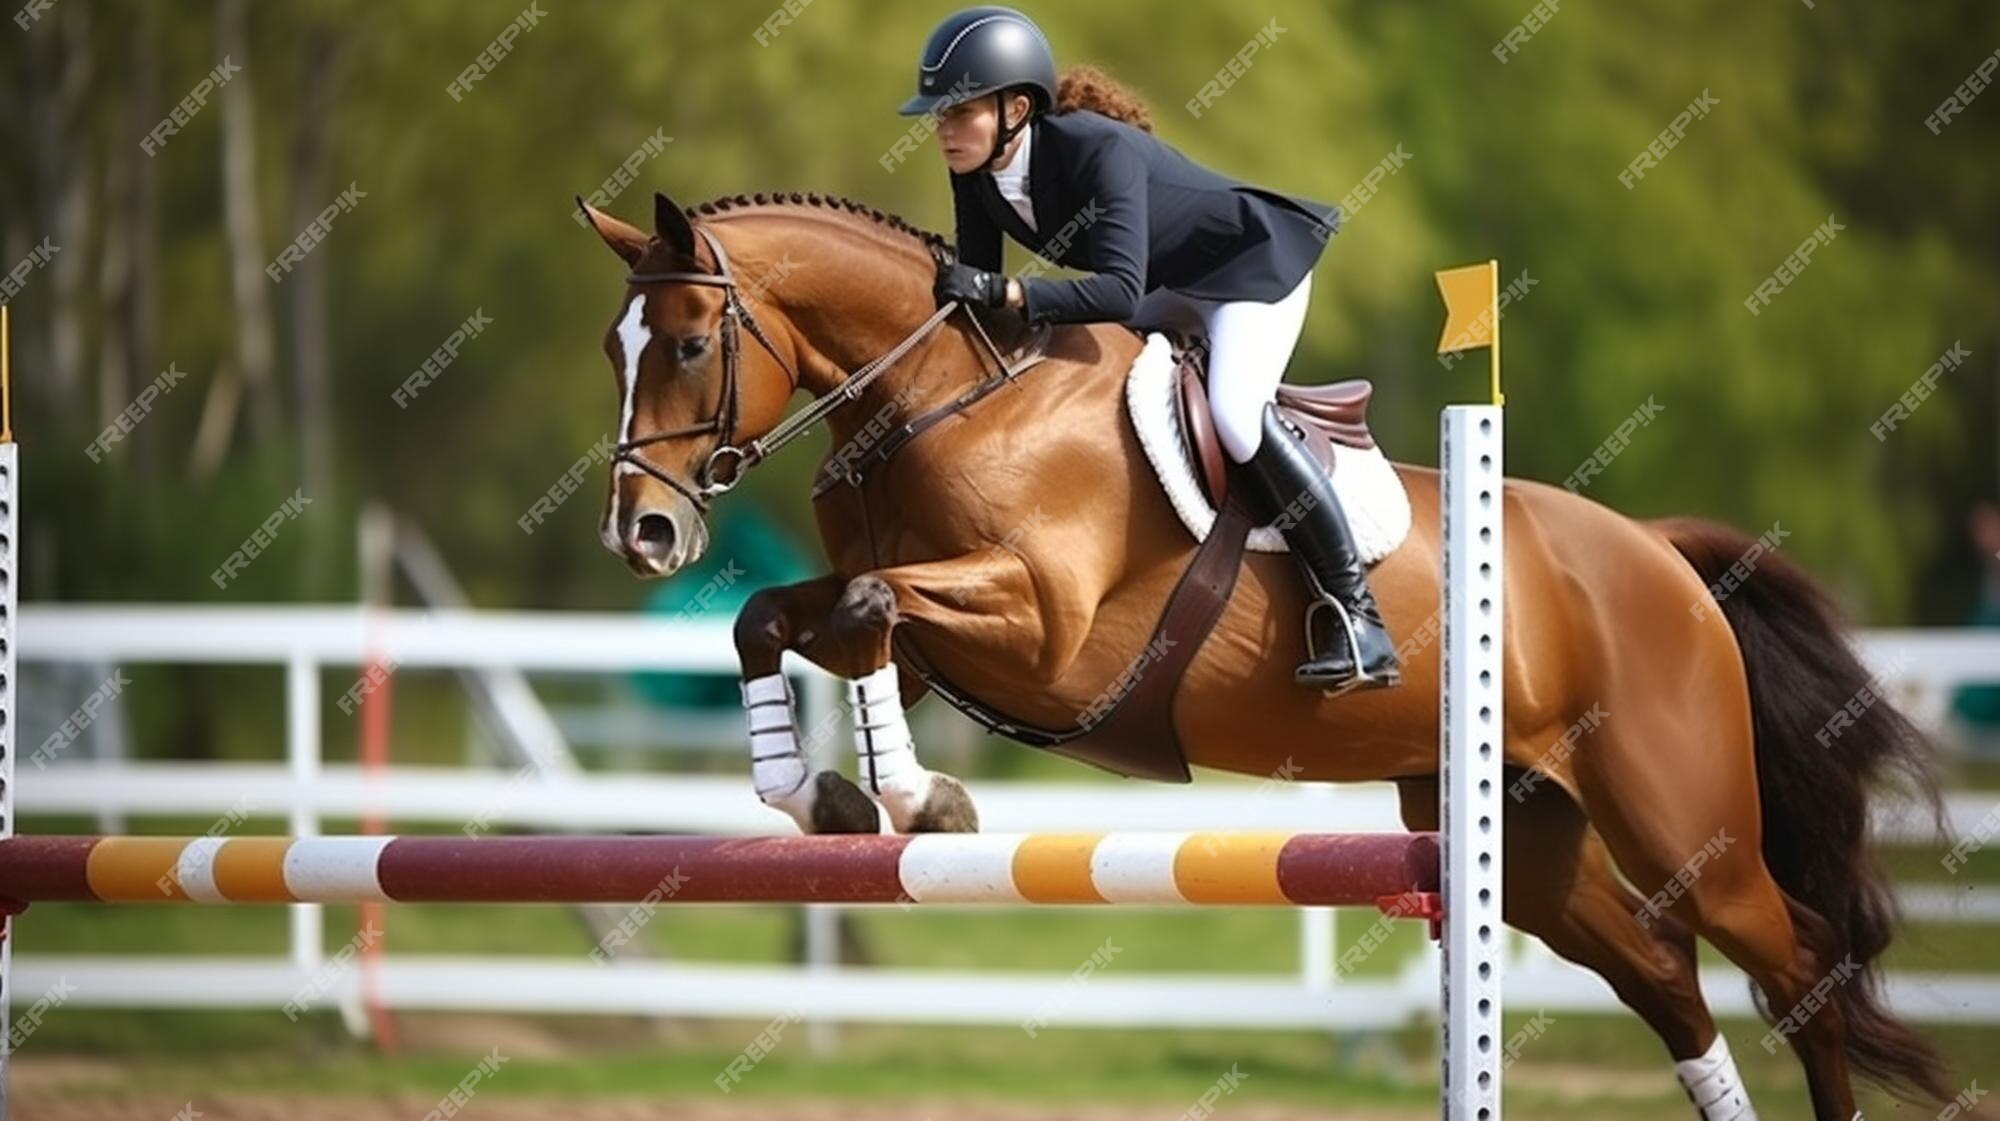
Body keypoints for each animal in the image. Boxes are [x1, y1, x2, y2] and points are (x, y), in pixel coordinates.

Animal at [580, 188, 1952, 1112]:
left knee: (1800, 964)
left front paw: (922, 798)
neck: (945, 397)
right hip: (1525, 839)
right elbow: (784, 618)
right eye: (612, 350)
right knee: (1667, 978)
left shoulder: (1044, 631)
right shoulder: (929, 640)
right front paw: (817, 793)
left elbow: (868, 607)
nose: (640, 533)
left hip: (1684, 824)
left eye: (690, 343)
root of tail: (1659, 557)